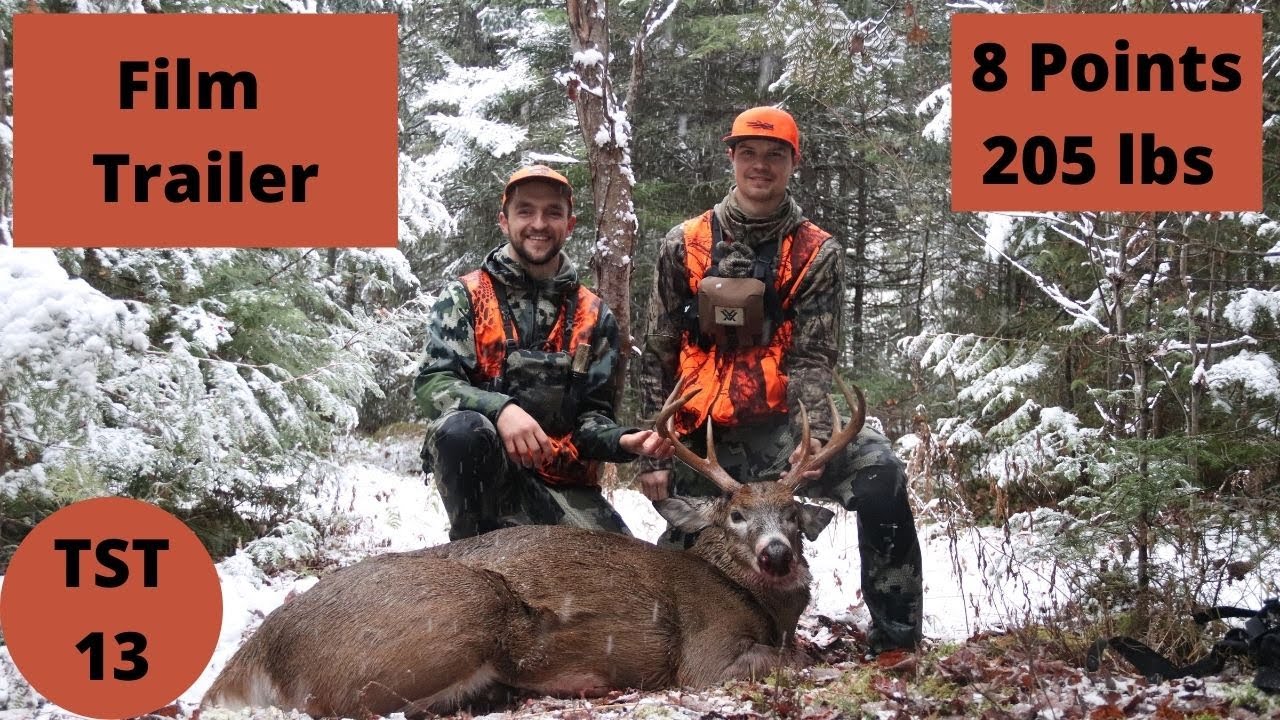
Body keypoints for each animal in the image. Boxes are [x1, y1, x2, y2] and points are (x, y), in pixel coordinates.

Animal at [201, 377, 865, 719]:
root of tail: (258, 649)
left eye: (793, 516)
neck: (754, 602)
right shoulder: (704, 658)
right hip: (456, 613)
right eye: (735, 515)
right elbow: (793, 660)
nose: (777, 555)